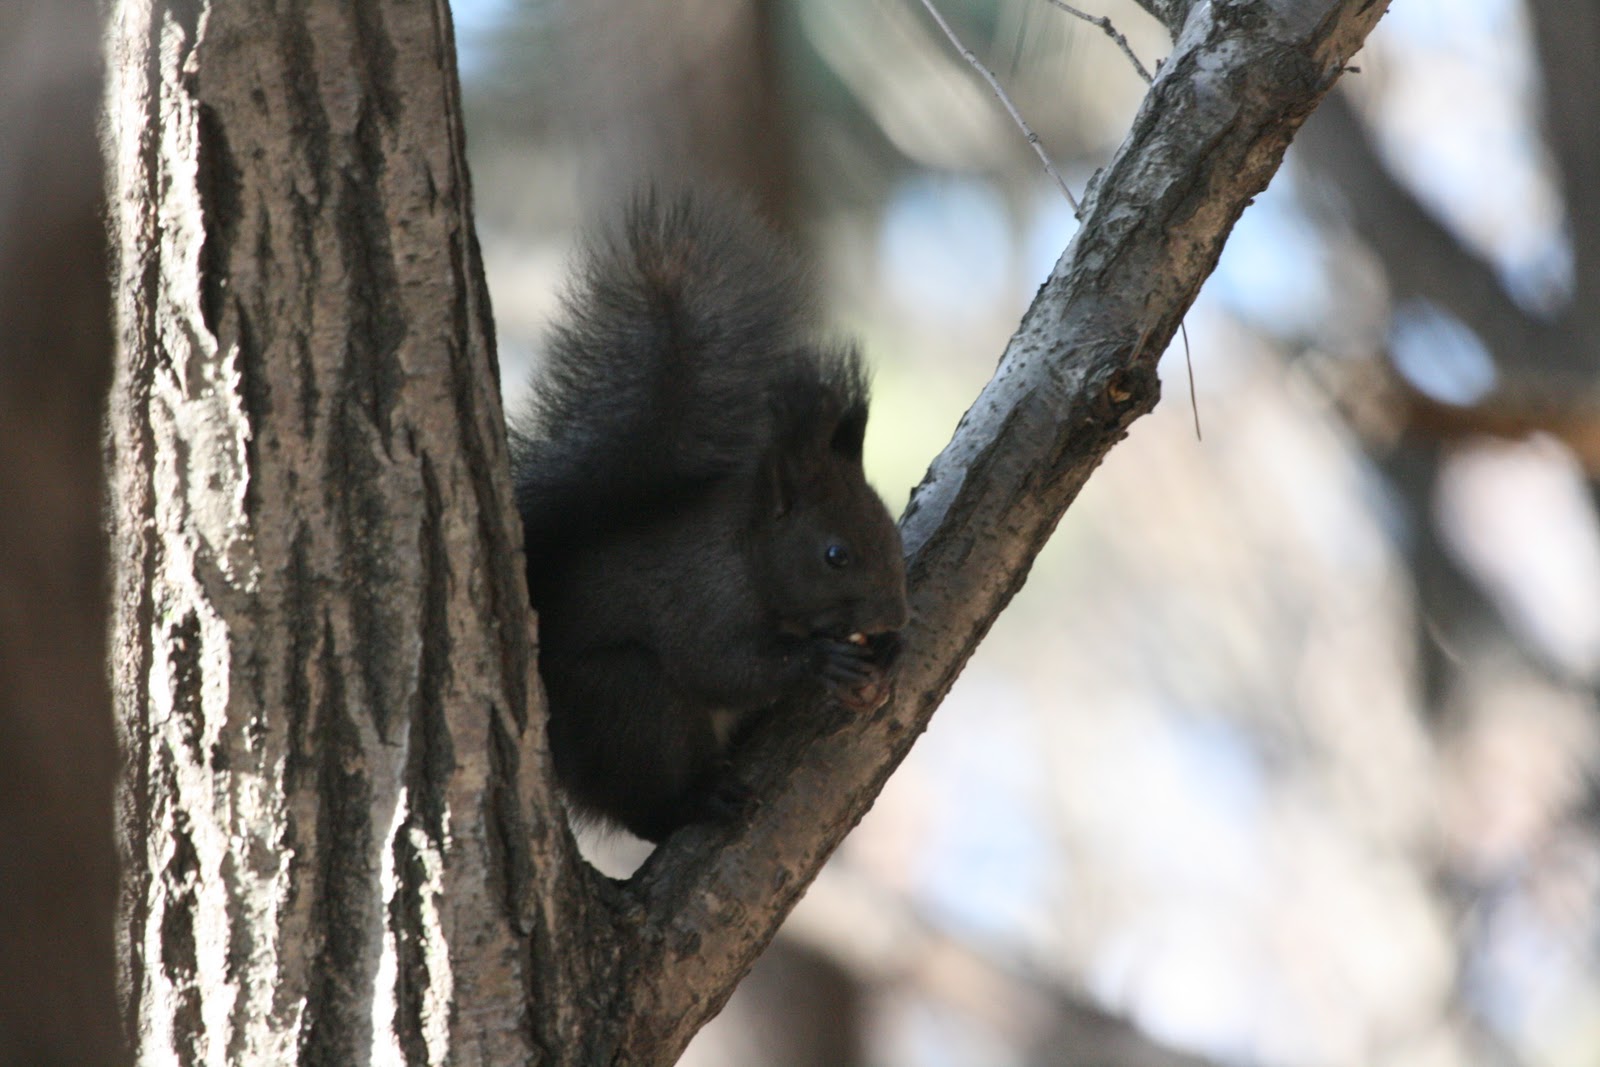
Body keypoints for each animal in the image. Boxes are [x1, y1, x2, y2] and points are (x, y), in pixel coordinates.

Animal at [511, 192, 909, 843]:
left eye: (891, 527)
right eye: (835, 555)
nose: (894, 615)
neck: (746, 551)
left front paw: (889, 646)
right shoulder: (696, 599)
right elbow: (719, 666)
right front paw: (819, 660)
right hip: (628, 703)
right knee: (642, 806)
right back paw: (690, 804)